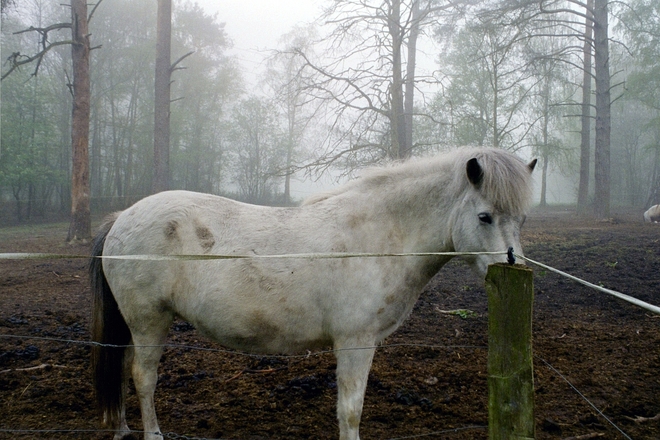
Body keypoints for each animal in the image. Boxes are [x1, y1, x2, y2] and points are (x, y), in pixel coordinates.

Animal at [90, 147, 536, 440]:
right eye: (484, 216)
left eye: (522, 218)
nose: (513, 267)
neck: (380, 235)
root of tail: (122, 218)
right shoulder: (355, 342)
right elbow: (350, 411)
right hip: (149, 321)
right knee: (144, 377)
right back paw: (151, 434)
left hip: (134, 324)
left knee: (125, 369)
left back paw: (123, 429)